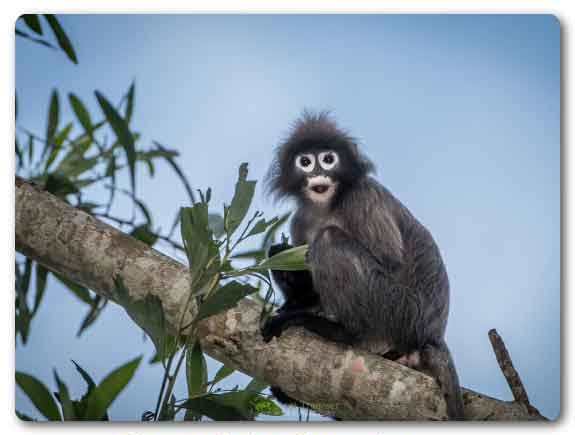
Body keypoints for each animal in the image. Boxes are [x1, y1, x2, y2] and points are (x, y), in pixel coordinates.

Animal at [260, 112, 464, 422]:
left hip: (398, 311)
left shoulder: (363, 197)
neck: (327, 205)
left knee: (330, 239)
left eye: (328, 159)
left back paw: (340, 332)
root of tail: (432, 334)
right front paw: (293, 295)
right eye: (305, 161)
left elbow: (390, 261)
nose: (317, 174)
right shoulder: (301, 218)